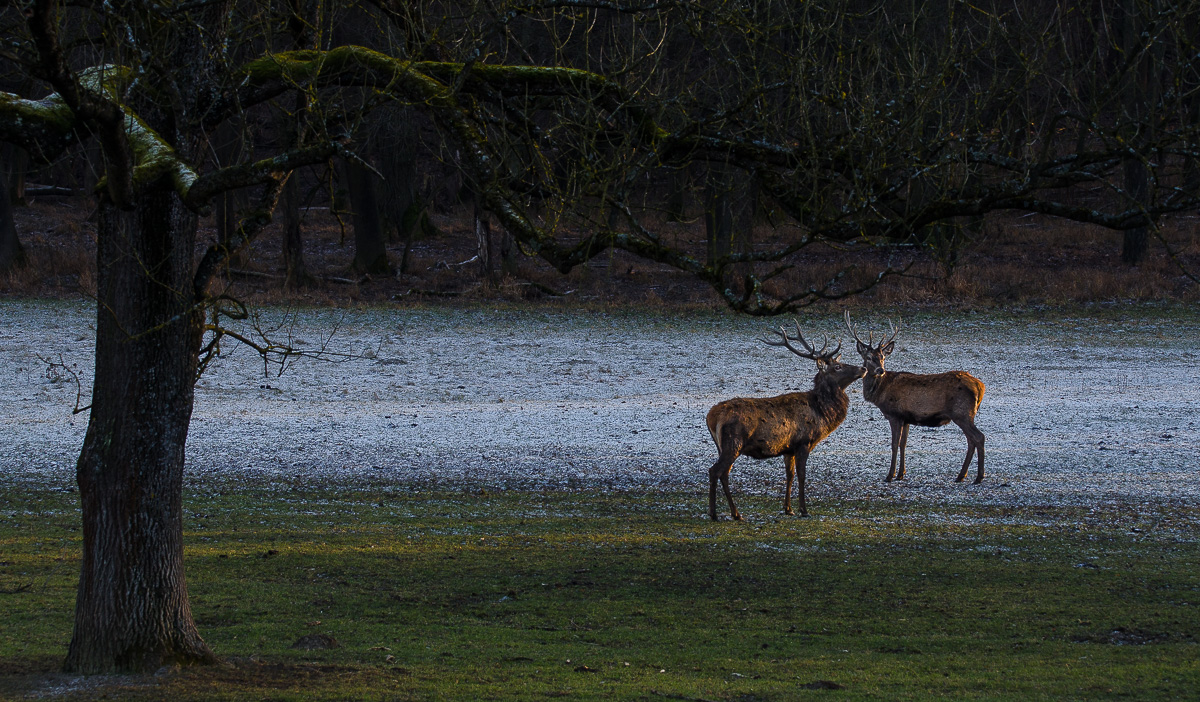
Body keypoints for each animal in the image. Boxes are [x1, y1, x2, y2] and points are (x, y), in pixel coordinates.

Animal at [700, 319, 864, 518]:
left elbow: (790, 475)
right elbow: (801, 475)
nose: (863, 368)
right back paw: (714, 513)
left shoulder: (788, 448)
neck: (821, 413)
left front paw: (788, 508)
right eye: (838, 367)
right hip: (733, 442)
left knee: (724, 473)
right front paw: (803, 510)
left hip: (723, 446)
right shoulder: (803, 442)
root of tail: (711, 416)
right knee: (714, 471)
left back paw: (735, 513)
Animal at [844, 312, 984, 482]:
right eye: (869, 357)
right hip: (966, 415)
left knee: (978, 437)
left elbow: (894, 444)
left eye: (883, 357)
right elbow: (903, 444)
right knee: (971, 440)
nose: (880, 370)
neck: (880, 393)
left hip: (961, 413)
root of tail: (980, 386)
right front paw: (901, 474)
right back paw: (961, 475)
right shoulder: (906, 418)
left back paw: (978, 476)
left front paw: (890, 475)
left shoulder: (895, 415)